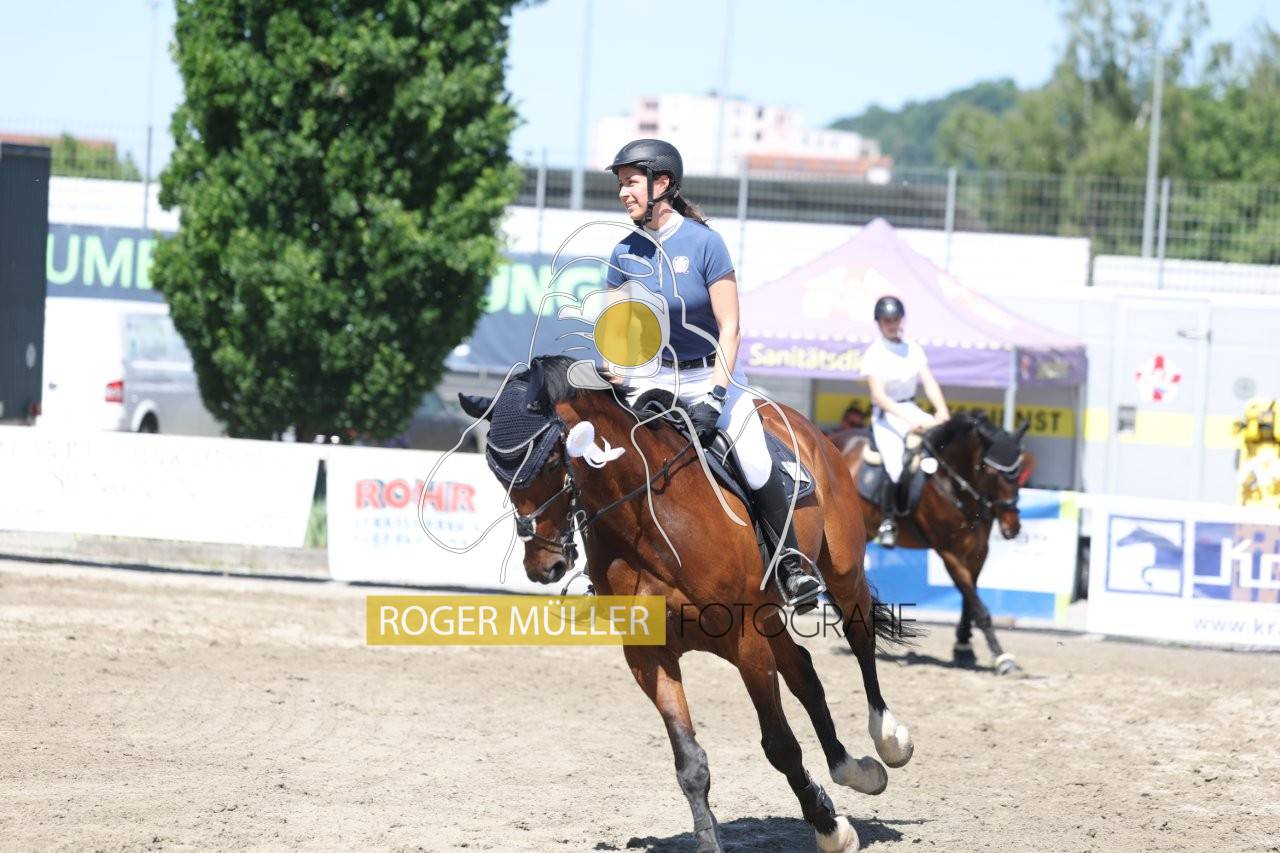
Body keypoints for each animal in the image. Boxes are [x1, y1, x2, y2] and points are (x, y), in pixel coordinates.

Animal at [458, 355, 915, 853]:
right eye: (500, 475)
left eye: (554, 460)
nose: (545, 565)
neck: (646, 518)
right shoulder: (648, 653)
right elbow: (690, 763)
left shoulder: (744, 639)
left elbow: (780, 746)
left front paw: (829, 828)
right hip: (770, 617)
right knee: (806, 674)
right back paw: (854, 770)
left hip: (841, 573)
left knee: (860, 638)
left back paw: (889, 741)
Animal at [830, 413, 1035, 675]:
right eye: (990, 470)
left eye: (1019, 469)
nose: (1012, 527)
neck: (952, 483)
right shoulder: (950, 554)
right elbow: (979, 607)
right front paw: (1002, 657)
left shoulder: (978, 552)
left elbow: (969, 601)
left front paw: (963, 649)